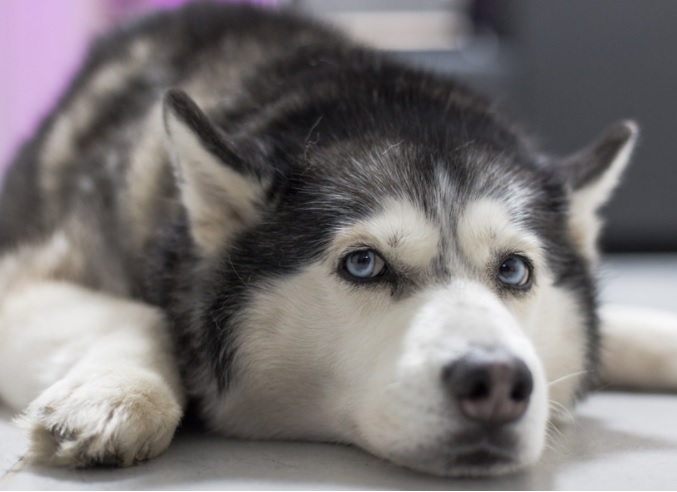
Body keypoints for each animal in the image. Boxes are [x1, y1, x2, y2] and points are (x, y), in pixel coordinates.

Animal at [1, 0, 676, 476]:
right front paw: (116, 393)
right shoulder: (23, 276)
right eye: (363, 265)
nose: (498, 384)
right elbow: (148, 316)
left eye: (513, 271)